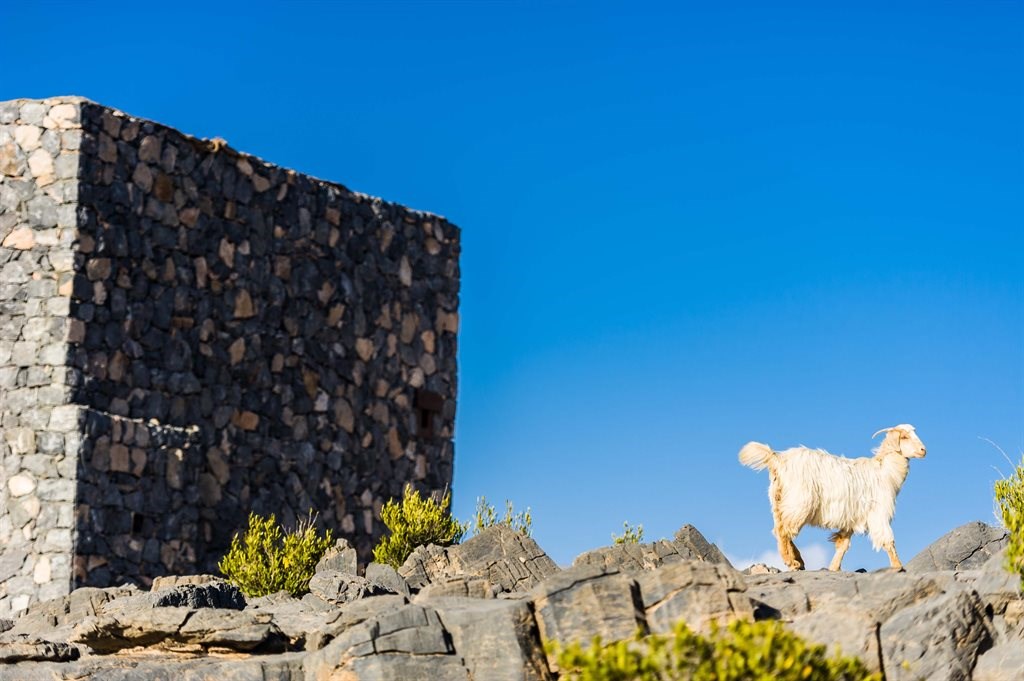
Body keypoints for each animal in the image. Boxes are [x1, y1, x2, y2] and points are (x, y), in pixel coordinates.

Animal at [741, 421, 925, 569]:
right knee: (783, 530)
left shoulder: (852, 517)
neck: (884, 471)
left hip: (779, 501)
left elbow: (842, 544)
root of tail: (778, 459)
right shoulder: (878, 513)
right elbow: (888, 541)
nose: (924, 450)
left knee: (780, 528)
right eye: (904, 437)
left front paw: (834, 568)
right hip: (799, 502)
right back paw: (791, 562)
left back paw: (798, 560)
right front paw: (898, 566)